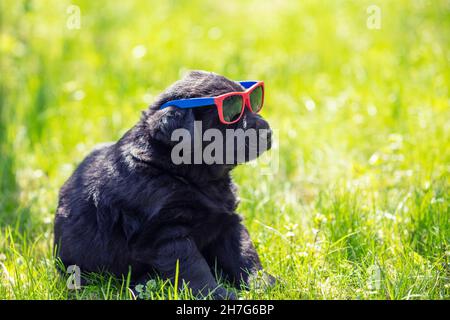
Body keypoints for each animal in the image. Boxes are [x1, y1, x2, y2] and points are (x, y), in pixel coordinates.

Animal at [55, 70, 274, 300]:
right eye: (232, 115)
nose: (268, 132)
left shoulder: (228, 220)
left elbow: (243, 254)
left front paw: (262, 285)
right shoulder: (167, 234)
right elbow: (195, 269)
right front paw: (217, 295)